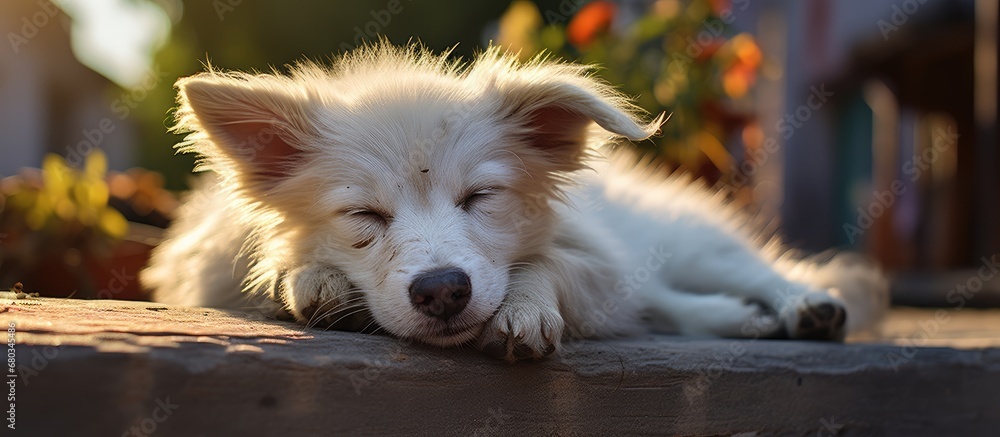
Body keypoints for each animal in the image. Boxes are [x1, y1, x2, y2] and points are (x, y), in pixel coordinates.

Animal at [145, 42, 888, 360]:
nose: (442, 290)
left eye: (481, 197)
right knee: (666, 306)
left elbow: (544, 268)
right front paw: (305, 275)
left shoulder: (596, 259)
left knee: (759, 270)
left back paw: (805, 306)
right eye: (364, 216)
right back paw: (743, 322)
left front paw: (525, 307)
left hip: (691, 241)